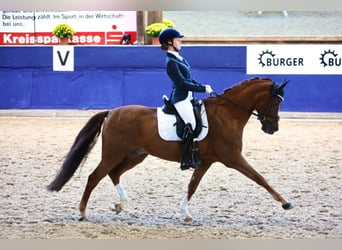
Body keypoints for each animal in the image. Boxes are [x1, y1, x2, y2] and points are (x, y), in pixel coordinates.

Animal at [47, 77, 294, 222]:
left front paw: (185, 213)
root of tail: (112, 112)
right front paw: (285, 203)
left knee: (113, 174)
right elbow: (260, 178)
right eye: (276, 102)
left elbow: (192, 185)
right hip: (113, 154)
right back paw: (82, 212)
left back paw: (120, 204)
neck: (227, 114)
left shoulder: (206, 161)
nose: (272, 128)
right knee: (94, 177)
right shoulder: (233, 158)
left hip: (136, 155)